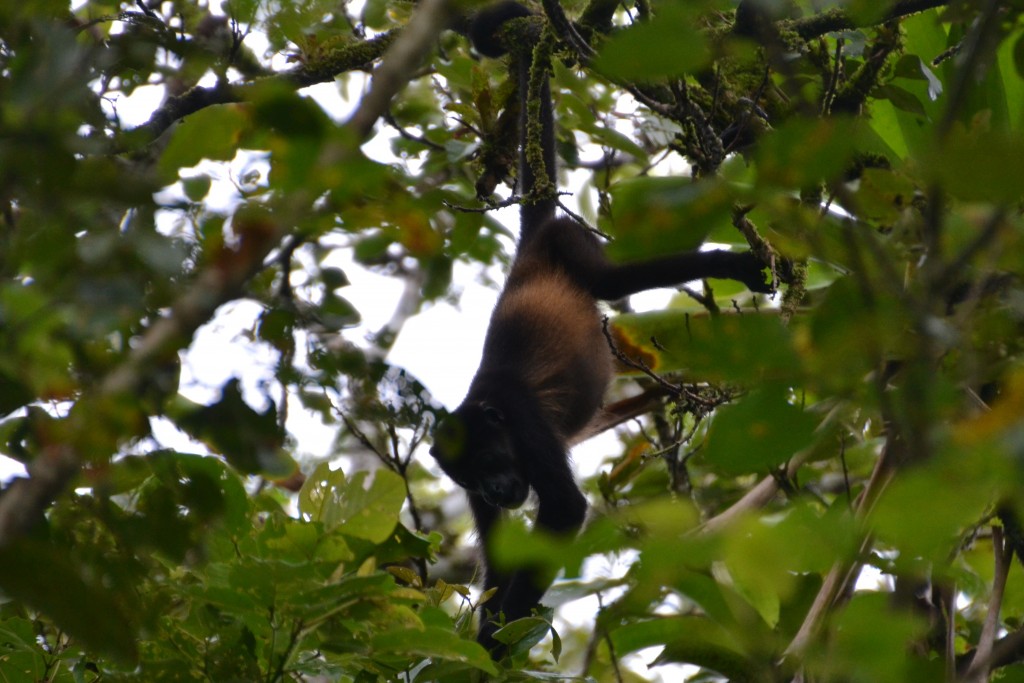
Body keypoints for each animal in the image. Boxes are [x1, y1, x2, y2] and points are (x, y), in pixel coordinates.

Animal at [432, 0, 774, 655]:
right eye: (474, 481)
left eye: (490, 462)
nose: (495, 492)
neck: (489, 409)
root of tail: (528, 251)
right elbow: (496, 554)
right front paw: (484, 636)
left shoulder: (526, 423)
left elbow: (565, 510)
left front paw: (498, 645)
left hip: (569, 242)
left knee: (615, 280)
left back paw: (732, 258)